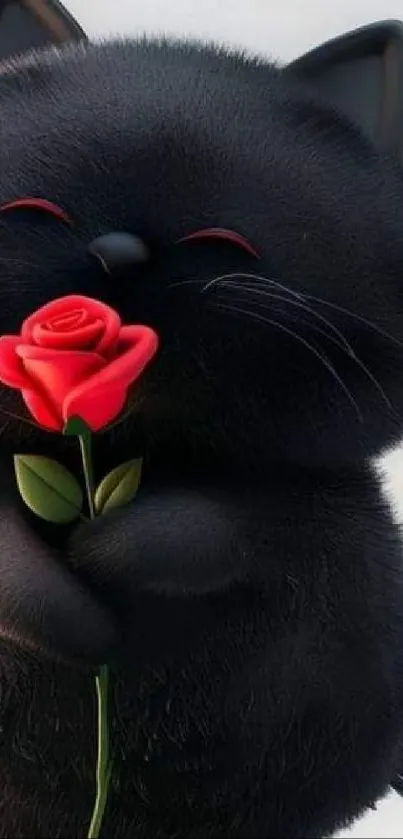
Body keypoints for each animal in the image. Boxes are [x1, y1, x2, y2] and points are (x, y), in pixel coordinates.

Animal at [0, 37, 403, 839]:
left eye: (222, 239)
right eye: (31, 209)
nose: (117, 253)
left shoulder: (314, 507)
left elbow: (230, 521)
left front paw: (112, 548)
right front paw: (70, 610)